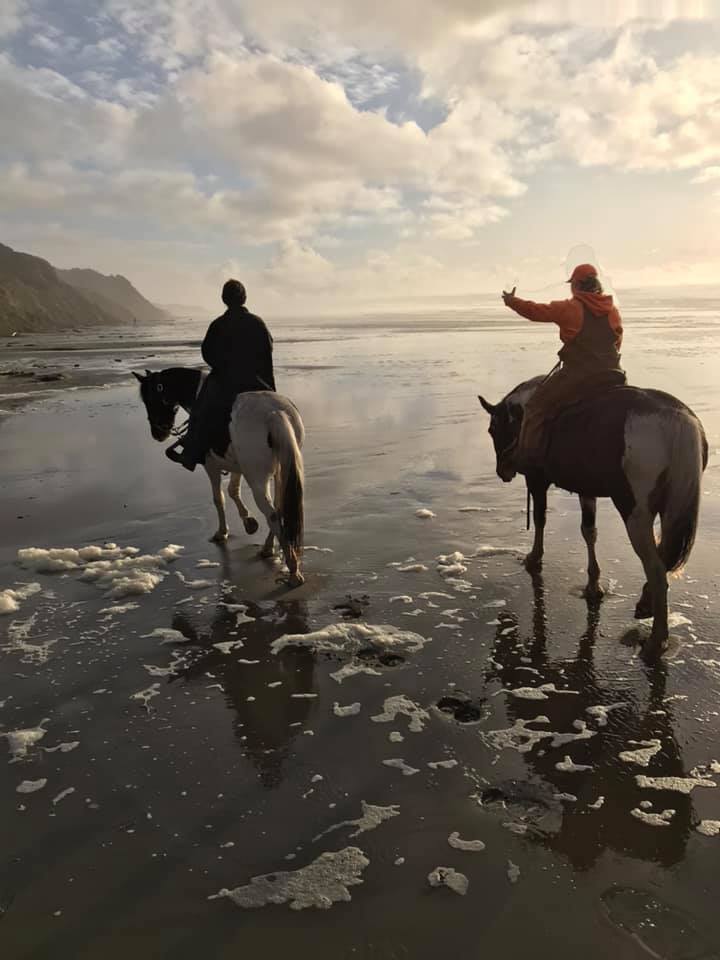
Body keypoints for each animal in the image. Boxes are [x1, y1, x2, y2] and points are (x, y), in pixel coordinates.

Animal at [136, 366, 306, 584]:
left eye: (150, 399)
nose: (158, 434)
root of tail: (275, 413)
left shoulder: (211, 465)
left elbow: (219, 498)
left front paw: (222, 532)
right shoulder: (236, 466)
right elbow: (233, 490)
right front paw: (249, 522)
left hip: (257, 478)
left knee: (272, 514)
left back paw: (292, 569)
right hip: (279, 473)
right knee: (278, 508)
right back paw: (269, 549)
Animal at [478, 376, 708, 660]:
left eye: (492, 429)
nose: (504, 472)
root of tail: (678, 421)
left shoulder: (537, 479)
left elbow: (541, 519)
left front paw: (534, 558)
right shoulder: (586, 490)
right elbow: (589, 531)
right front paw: (593, 585)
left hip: (634, 511)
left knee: (655, 568)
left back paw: (656, 641)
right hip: (670, 509)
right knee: (664, 554)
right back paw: (646, 603)